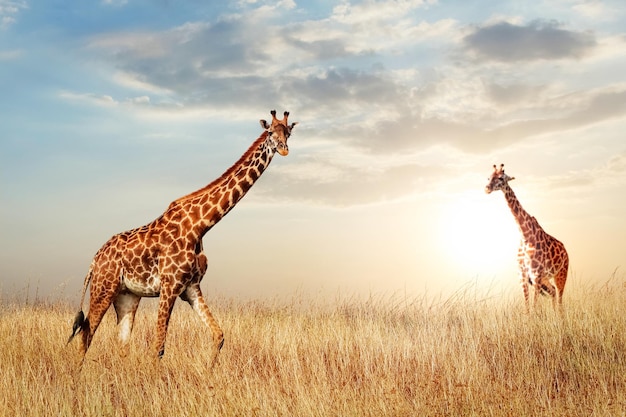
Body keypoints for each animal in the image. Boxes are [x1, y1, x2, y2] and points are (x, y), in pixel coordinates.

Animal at [68, 109, 298, 360]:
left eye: (288, 132)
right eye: (270, 132)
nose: (284, 149)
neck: (201, 224)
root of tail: (94, 260)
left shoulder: (191, 287)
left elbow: (219, 335)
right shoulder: (170, 286)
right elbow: (158, 347)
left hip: (127, 296)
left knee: (121, 343)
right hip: (104, 288)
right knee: (85, 338)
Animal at [486, 164, 568, 310]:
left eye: (501, 178)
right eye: (488, 177)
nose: (487, 188)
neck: (525, 235)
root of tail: (567, 253)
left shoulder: (535, 275)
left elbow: (534, 306)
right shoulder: (523, 276)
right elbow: (527, 307)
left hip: (561, 274)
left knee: (560, 299)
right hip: (546, 278)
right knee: (553, 291)